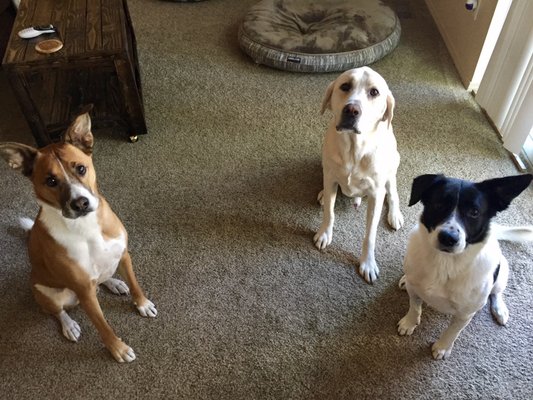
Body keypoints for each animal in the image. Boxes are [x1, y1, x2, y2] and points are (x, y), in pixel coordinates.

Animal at [0, 111, 157, 362]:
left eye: (81, 169)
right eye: (51, 181)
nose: (81, 203)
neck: (86, 226)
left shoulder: (124, 255)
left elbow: (135, 285)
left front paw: (142, 304)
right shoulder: (83, 291)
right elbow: (102, 325)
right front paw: (118, 349)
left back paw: (113, 282)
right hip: (50, 293)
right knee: (56, 311)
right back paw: (69, 325)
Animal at [314, 67, 402, 282]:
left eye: (374, 92)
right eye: (345, 86)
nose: (352, 110)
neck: (354, 149)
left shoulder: (376, 194)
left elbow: (370, 235)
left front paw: (368, 263)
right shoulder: (331, 177)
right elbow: (329, 213)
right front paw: (325, 233)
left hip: (393, 164)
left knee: (392, 192)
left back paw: (395, 214)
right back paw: (323, 194)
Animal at [396, 173, 528, 360]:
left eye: (474, 212)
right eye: (438, 204)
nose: (448, 238)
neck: (445, 263)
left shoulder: (465, 314)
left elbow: (453, 332)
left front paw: (442, 347)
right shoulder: (414, 290)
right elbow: (414, 307)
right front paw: (409, 323)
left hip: (502, 271)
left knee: (496, 292)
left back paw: (500, 309)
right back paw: (403, 279)